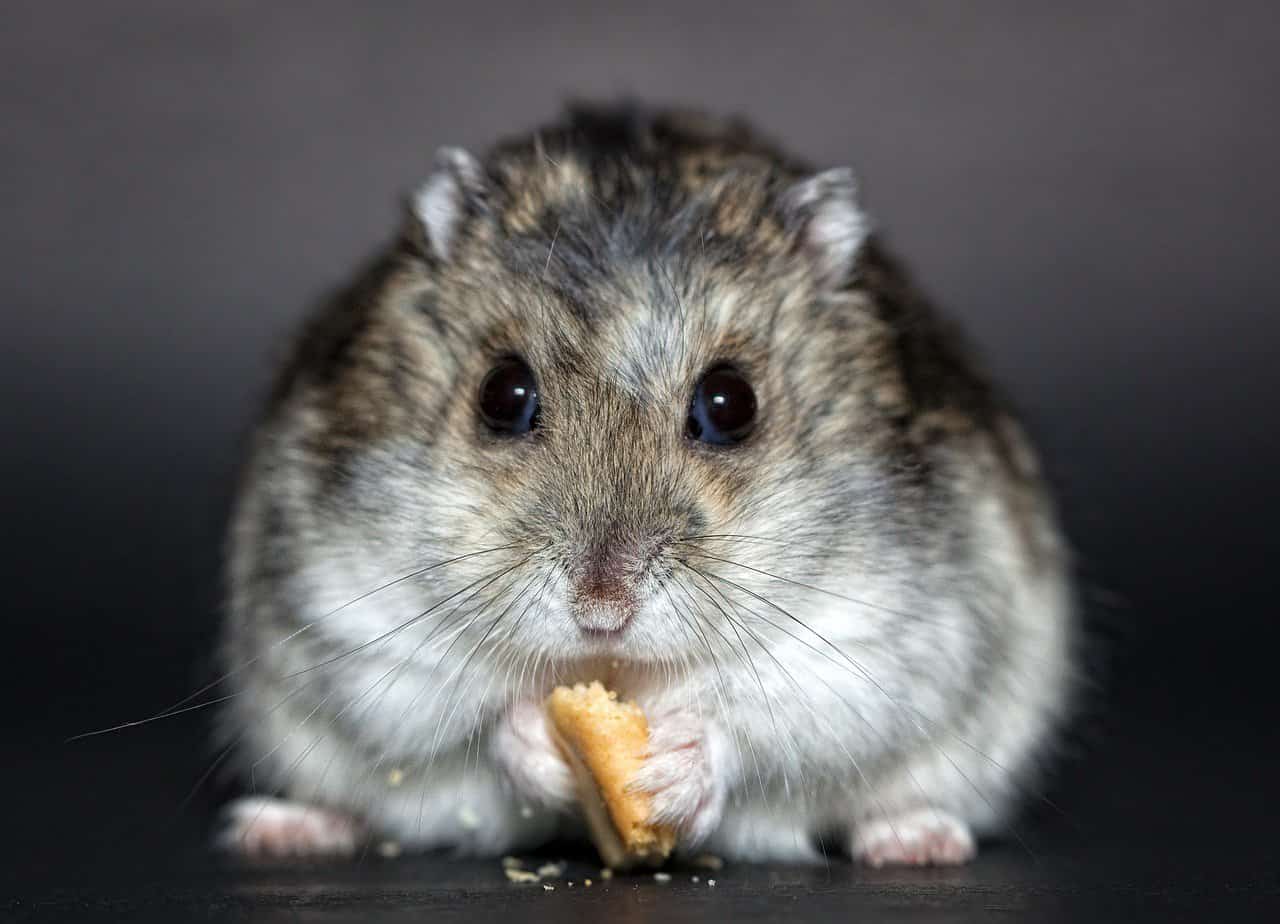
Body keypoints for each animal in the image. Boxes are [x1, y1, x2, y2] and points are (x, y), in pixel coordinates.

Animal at [216, 104, 1075, 866]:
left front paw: (672, 767)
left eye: (731, 404)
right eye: (502, 395)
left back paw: (916, 841)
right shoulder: (354, 621)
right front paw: (538, 740)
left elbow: (769, 719)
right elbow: (464, 716)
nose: (602, 612)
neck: (620, 672)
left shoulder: (879, 639)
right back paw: (280, 828)